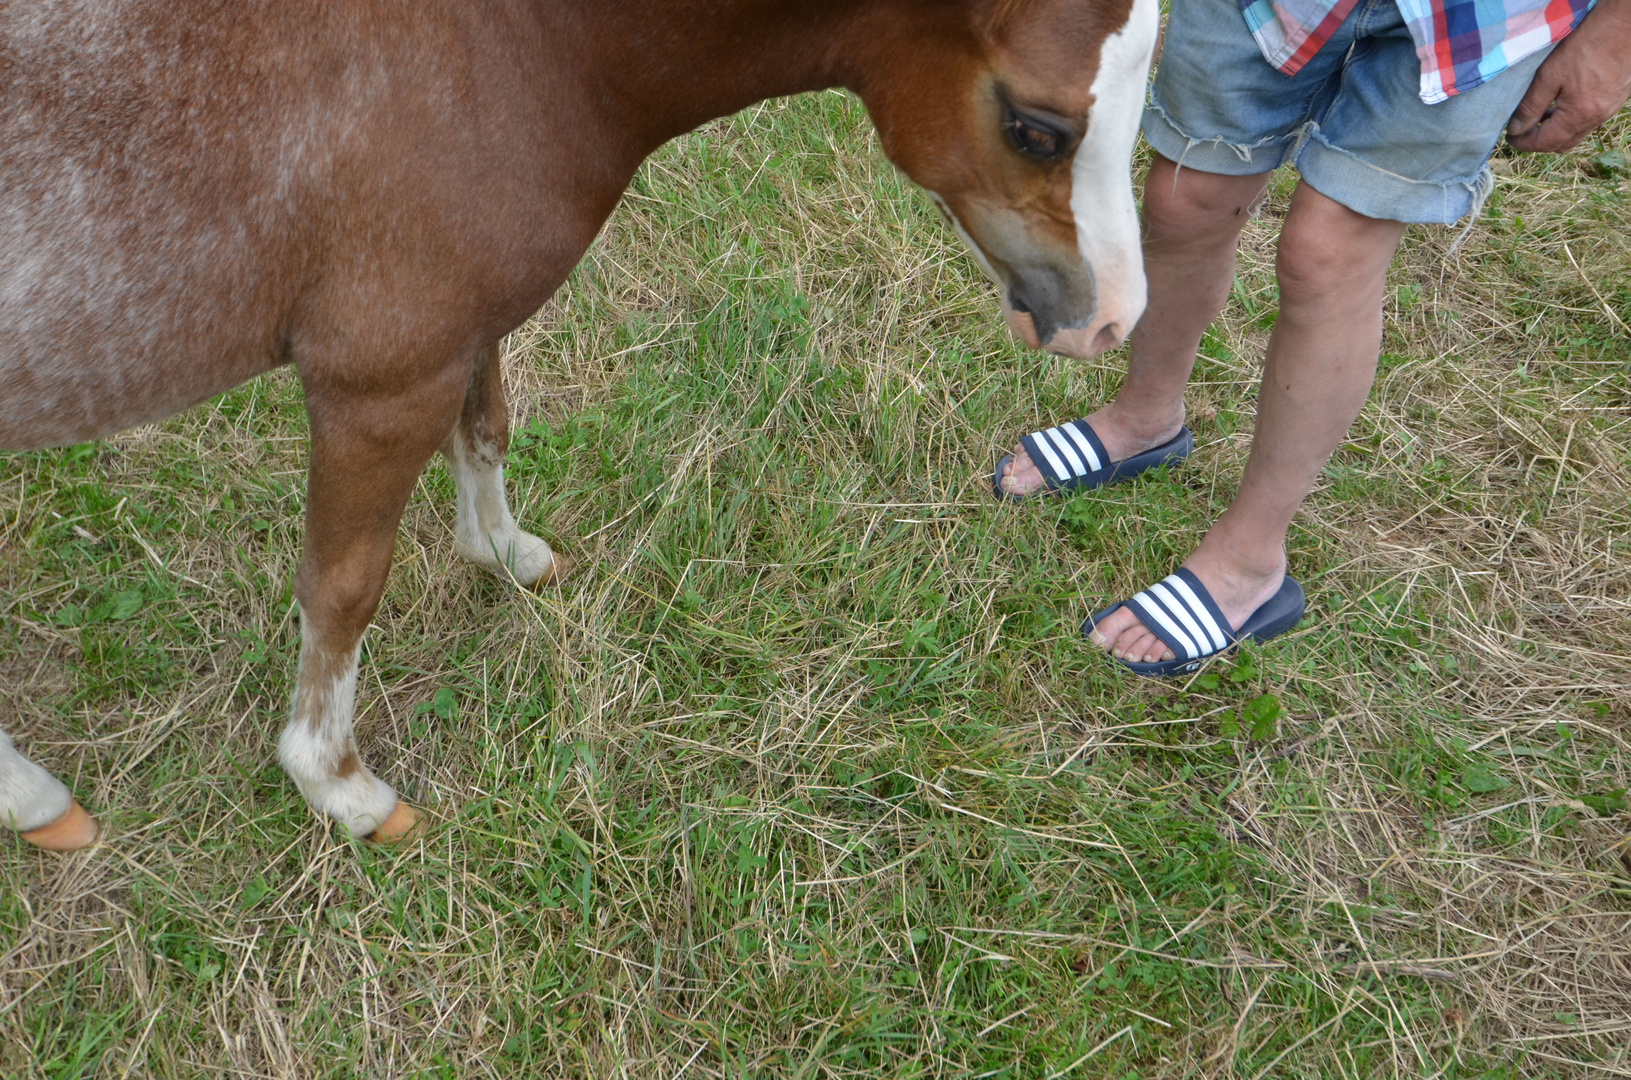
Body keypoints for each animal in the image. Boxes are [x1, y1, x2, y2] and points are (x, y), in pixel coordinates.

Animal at [6, 0, 1167, 854]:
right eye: (1035, 127)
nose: (1115, 318)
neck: (507, 43)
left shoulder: (458, 334)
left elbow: (485, 429)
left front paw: (504, 554)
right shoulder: (377, 383)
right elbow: (342, 586)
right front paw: (337, 786)